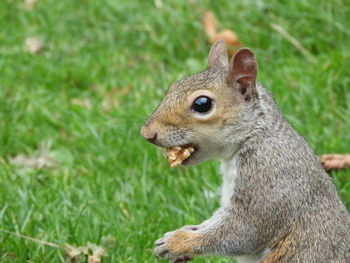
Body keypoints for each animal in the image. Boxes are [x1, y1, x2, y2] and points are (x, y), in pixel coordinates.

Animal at [140, 39, 350, 263]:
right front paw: (184, 232)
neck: (252, 137)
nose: (147, 133)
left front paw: (178, 243)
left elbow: (243, 232)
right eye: (173, 86)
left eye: (202, 104)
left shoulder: (269, 183)